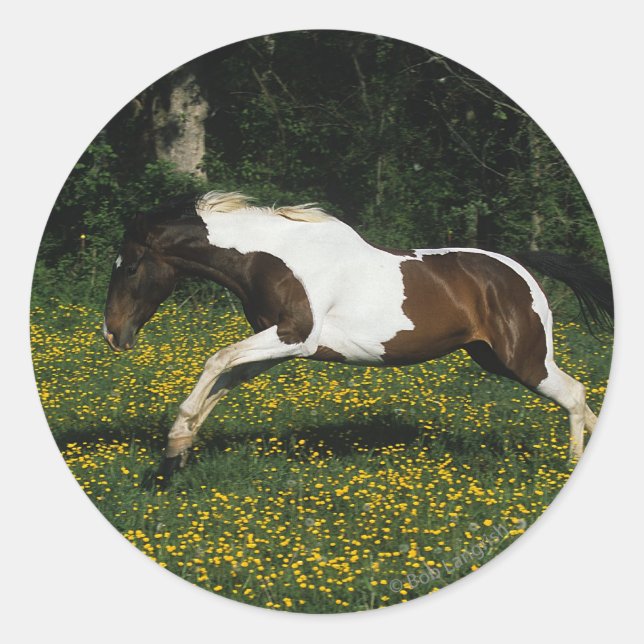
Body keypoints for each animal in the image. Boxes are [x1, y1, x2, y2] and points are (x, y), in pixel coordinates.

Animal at [103, 191, 613, 478]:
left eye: (129, 267)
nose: (112, 335)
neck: (272, 257)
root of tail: (517, 268)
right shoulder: (278, 346)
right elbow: (223, 381)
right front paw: (176, 454)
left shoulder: (294, 336)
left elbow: (215, 361)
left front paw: (174, 445)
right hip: (493, 357)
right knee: (584, 404)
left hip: (524, 360)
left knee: (574, 395)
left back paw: (570, 466)